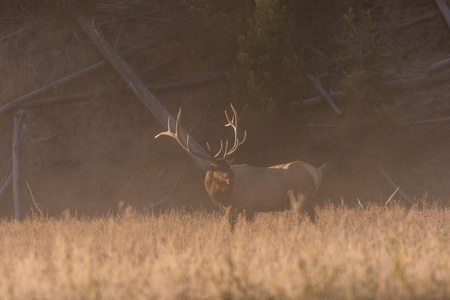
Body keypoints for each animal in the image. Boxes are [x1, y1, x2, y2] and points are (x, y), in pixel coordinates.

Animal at [156, 104, 322, 229]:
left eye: (227, 166)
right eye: (217, 168)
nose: (230, 175)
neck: (224, 196)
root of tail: (316, 173)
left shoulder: (248, 205)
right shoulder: (232, 209)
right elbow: (231, 229)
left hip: (300, 198)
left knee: (302, 220)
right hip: (309, 201)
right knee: (315, 220)